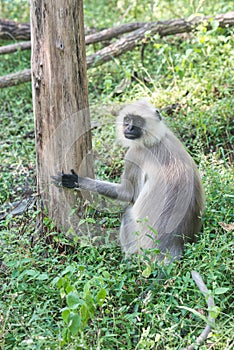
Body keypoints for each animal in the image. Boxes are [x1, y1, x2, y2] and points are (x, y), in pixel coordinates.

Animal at [51, 98, 205, 262]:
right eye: (127, 120)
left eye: (137, 121)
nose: (129, 128)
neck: (155, 140)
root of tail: (172, 246)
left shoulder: (134, 155)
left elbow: (128, 194)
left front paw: (76, 181)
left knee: (127, 214)